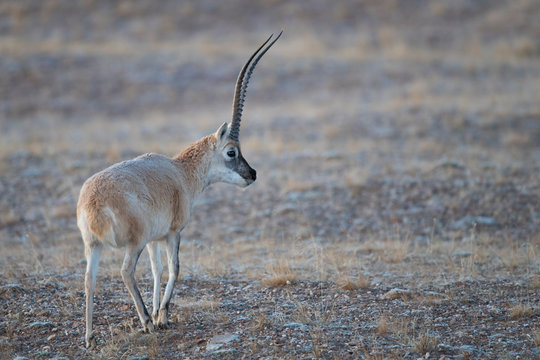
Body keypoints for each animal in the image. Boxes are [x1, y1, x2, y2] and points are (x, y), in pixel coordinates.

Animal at [78, 32, 284, 348]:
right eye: (231, 152)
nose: (252, 174)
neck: (180, 171)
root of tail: (94, 202)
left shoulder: (155, 239)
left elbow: (157, 270)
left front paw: (157, 311)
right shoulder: (174, 232)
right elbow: (175, 267)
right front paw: (161, 316)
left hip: (94, 246)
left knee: (90, 278)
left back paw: (90, 337)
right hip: (133, 243)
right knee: (125, 271)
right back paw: (146, 323)